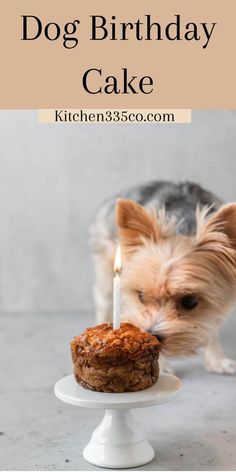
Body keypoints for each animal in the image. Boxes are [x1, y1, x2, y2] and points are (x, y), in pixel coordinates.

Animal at [90, 183, 236, 374]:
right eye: (141, 296)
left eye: (189, 302)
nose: (151, 334)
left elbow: (211, 327)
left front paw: (216, 360)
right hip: (108, 263)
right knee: (103, 298)